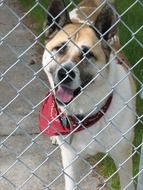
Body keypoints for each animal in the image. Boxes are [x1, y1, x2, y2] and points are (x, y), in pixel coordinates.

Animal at [39, 0, 136, 189]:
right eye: (60, 48)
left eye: (87, 54)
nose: (65, 73)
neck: (86, 114)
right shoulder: (70, 158)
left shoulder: (123, 156)